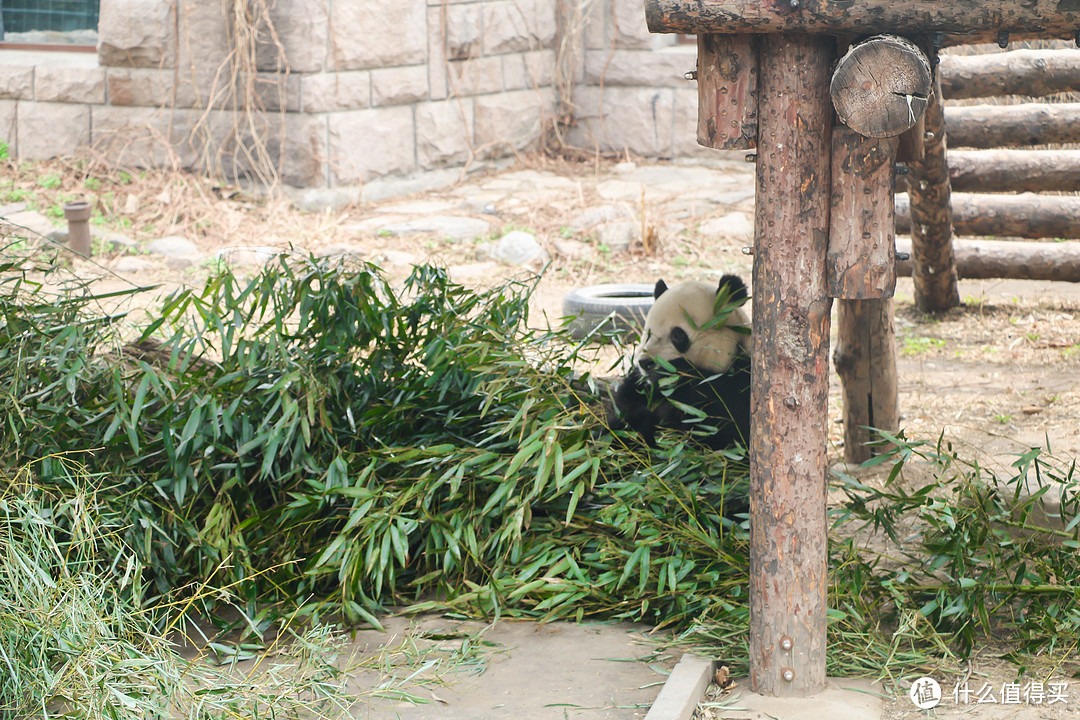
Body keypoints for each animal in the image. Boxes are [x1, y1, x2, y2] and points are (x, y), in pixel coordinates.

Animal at [613, 273, 756, 446]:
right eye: (648, 334)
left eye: (677, 335)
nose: (646, 363)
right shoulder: (640, 385)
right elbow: (626, 404)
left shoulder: (744, 375)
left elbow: (731, 423)